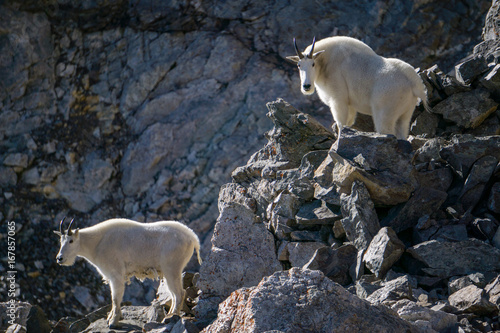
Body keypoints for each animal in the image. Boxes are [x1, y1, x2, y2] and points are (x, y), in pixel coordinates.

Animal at [54, 217, 201, 326]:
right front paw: (111, 317)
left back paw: (170, 317)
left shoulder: (116, 274)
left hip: (172, 268)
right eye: (61, 240)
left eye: (71, 241)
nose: (60, 258)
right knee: (175, 294)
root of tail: (193, 238)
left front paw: (113, 322)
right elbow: (114, 298)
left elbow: (115, 298)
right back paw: (169, 315)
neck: (96, 244)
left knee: (179, 293)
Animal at [288, 36, 428, 139]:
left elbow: (341, 124)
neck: (325, 62)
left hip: (385, 112)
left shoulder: (338, 100)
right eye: (299, 65)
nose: (306, 86)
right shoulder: (350, 105)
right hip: (406, 113)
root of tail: (414, 82)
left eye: (313, 64)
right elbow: (348, 123)